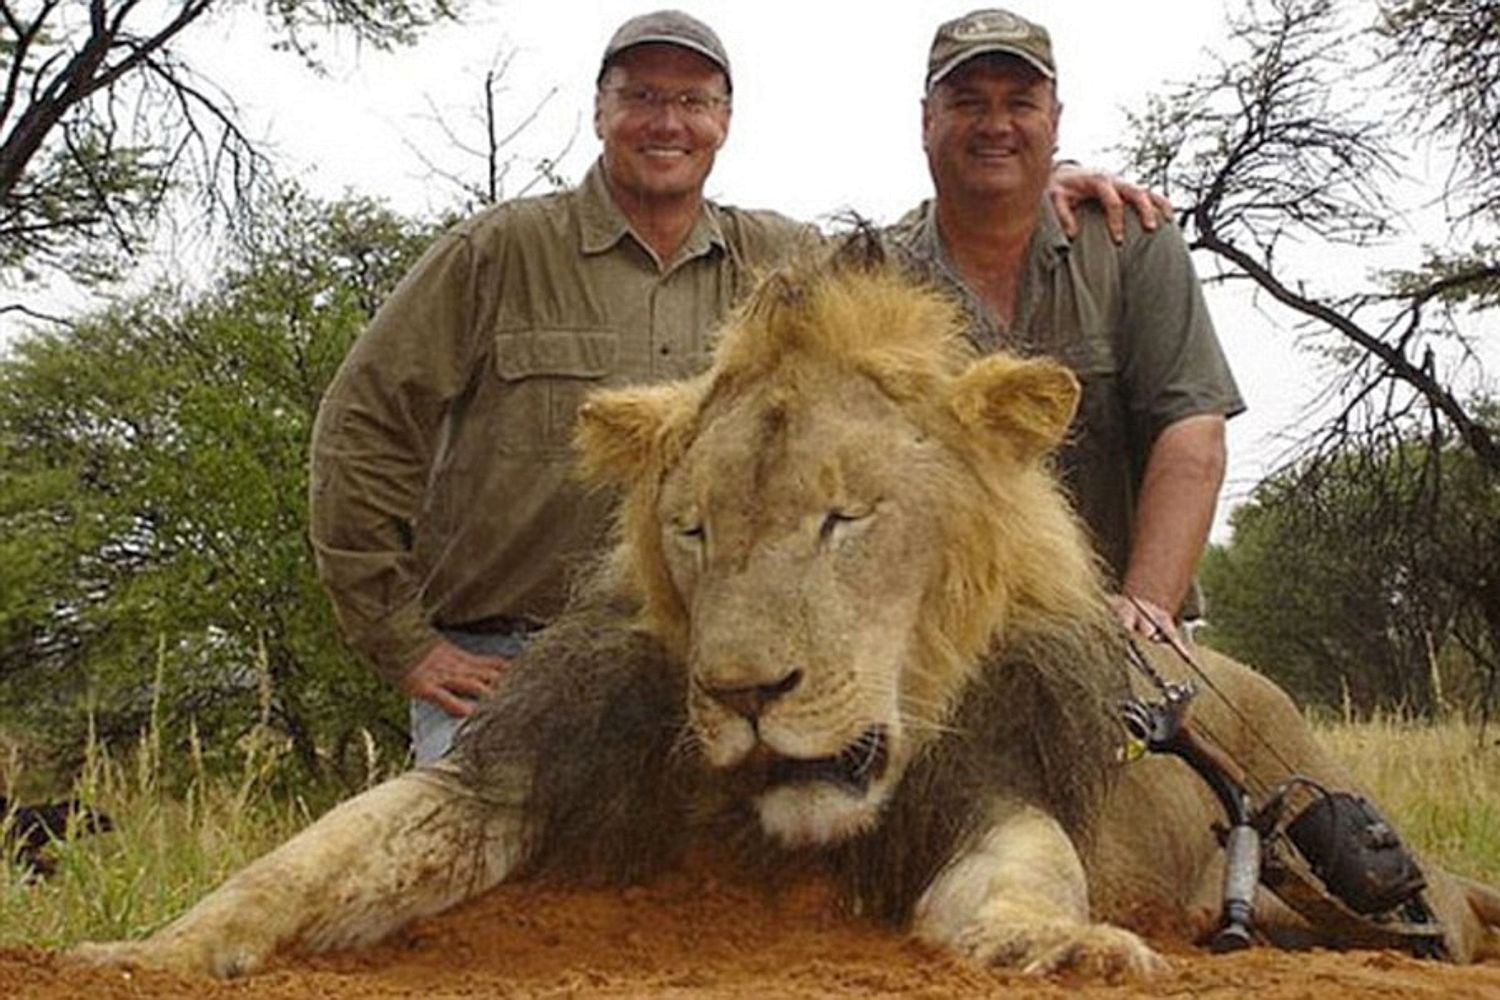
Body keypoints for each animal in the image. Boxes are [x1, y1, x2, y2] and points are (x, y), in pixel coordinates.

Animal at [73, 254, 1500, 983]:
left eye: (845, 518)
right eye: (697, 529)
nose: (747, 695)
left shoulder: (987, 782)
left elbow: (1023, 876)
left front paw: (1065, 946)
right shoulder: (533, 768)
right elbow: (313, 858)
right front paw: (146, 947)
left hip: (1338, 824)